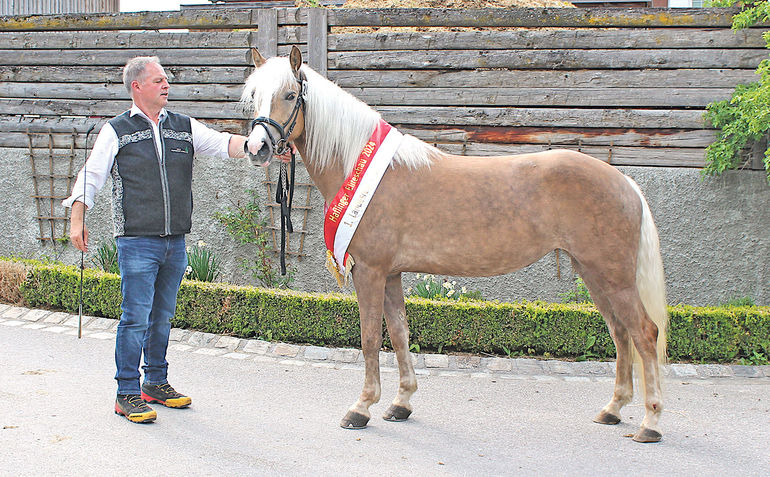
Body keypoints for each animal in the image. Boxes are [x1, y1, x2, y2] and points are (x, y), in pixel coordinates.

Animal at [240, 46, 664, 440]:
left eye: (290, 95)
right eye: (255, 95)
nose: (257, 147)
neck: (362, 167)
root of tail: (624, 182)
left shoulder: (371, 272)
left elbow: (370, 338)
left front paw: (361, 408)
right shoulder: (391, 274)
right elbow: (399, 333)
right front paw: (401, 402)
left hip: (613, 276)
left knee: (644, 333)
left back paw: (651, 422)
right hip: (592, 272)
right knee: (620, 333)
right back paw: (613, 409)